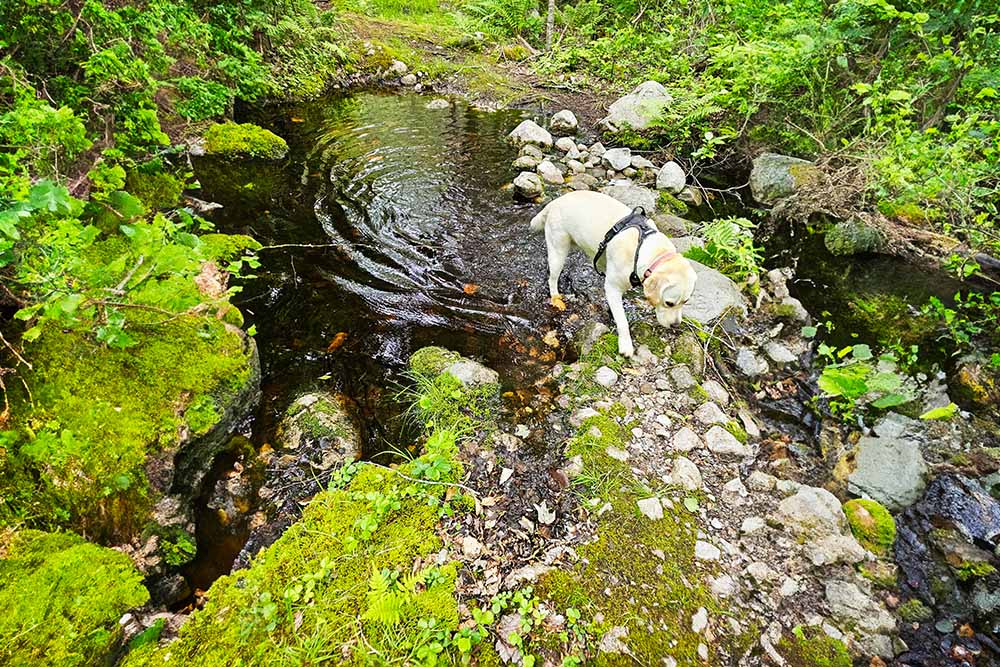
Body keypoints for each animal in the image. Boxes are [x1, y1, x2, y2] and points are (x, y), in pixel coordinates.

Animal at [528, 190, 700, 358]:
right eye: (669, 303)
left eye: (685, 302)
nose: (676, 325)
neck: (648, 251)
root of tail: (556, 201)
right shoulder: (613, 288)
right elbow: (623, 321)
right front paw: (626, 345)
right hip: (558, 250)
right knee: (552, 278)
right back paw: (556, 298)